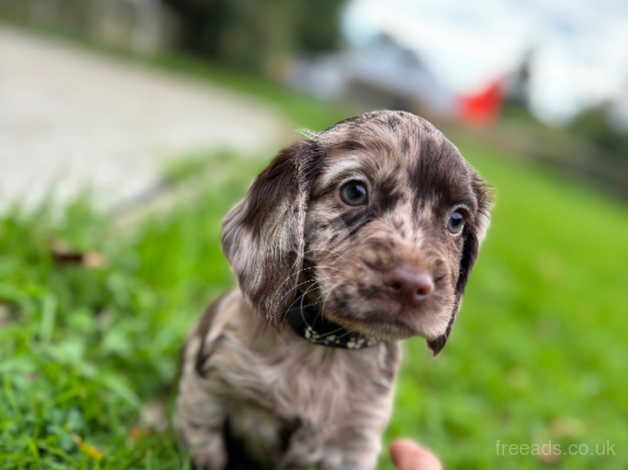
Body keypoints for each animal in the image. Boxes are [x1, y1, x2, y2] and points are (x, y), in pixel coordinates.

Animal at [174, 111, 494, 470]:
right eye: (354, 191)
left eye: (456, 220)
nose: (413, 284)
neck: (323, 348)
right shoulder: (208, 388)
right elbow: (205, 446)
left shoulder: (354, 441)